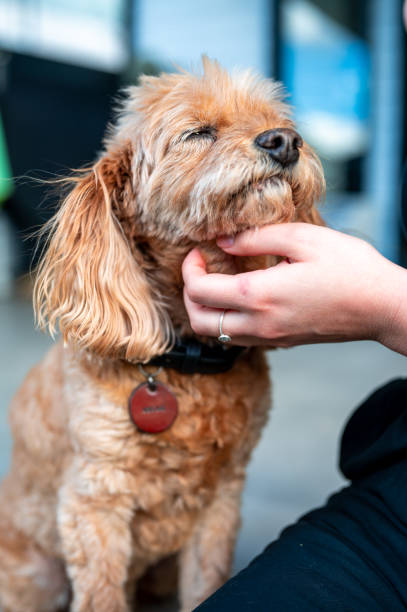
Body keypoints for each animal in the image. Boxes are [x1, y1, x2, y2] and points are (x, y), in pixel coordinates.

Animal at [0, 58, 326, 612]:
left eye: (276, 120)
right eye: (197, 133)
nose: (285, 141)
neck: (184, 362)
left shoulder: (221, 502)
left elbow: (207, 584)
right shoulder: (94, 503)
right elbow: (102, 596)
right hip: (32, 574)